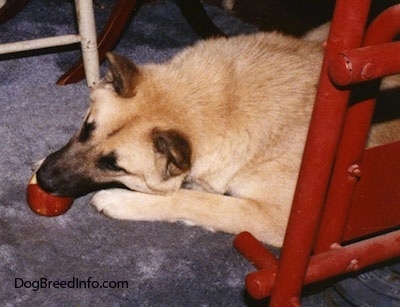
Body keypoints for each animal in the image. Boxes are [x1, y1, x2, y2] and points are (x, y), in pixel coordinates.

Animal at [36, 31, 398, 248]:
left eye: (115, 166)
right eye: (87, 128)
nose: (43, 179)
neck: (216, 104)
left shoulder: (280, 218)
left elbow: (194, 200)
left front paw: (122, 200)